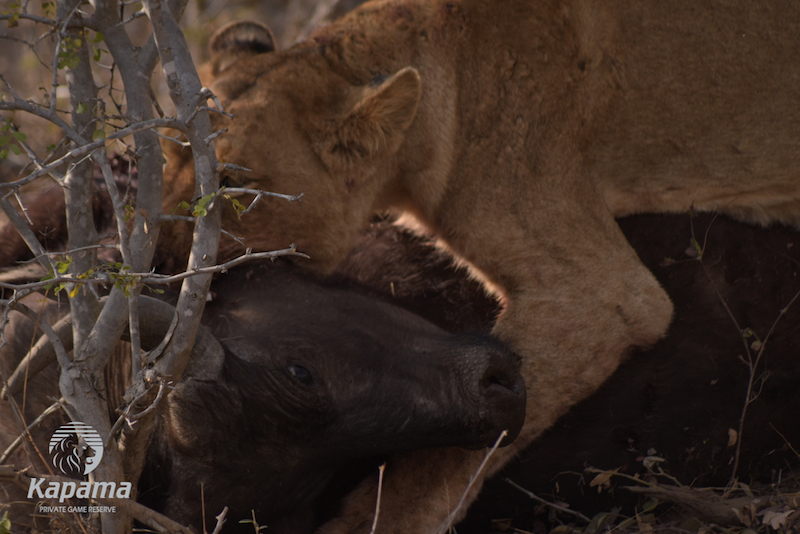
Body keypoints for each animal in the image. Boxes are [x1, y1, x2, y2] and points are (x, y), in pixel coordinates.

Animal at [158, 0, 800, 532]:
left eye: (235, 186)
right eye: (167, 154)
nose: (162, 266)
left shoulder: (606, 293)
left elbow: (465, 443)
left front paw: (375, 521)